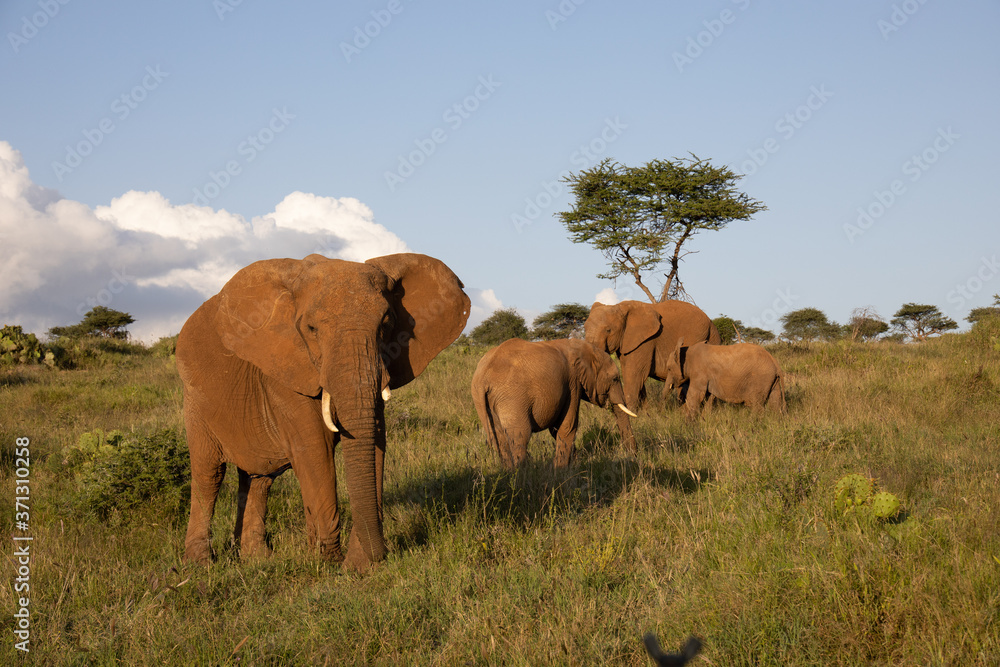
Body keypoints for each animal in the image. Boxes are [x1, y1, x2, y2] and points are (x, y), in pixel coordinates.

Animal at [174, 253, 470, 572]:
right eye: (311, 329)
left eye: (387, 323)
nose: (379, 556)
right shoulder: (285, 369)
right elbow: (314, 449)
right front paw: (329, 562)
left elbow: (375, 443)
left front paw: (354, 564)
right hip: (194, 397)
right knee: (209, 473)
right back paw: (199, 564)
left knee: (259, 477)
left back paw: (257, 559)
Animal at [470, 340, 640, 470]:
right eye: (615, 379)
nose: (634, 455)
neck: (582, 347)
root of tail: (484, 376)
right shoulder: (572, 383)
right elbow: (567, 426)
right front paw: (562, 470)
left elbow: (556, 429)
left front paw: (573, 464)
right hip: (512, 397)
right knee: (519, 437)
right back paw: (522, 474)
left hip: (480, 398)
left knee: (498, 439)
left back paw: (509, 473)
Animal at [584, 298, 724, 412]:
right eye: (584, 328)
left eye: (608, 330)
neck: (619, 306)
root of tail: (711, 323)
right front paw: (645, 415)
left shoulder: (646, 341)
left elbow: (634, 374)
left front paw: (633, 415)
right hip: (713, 340)